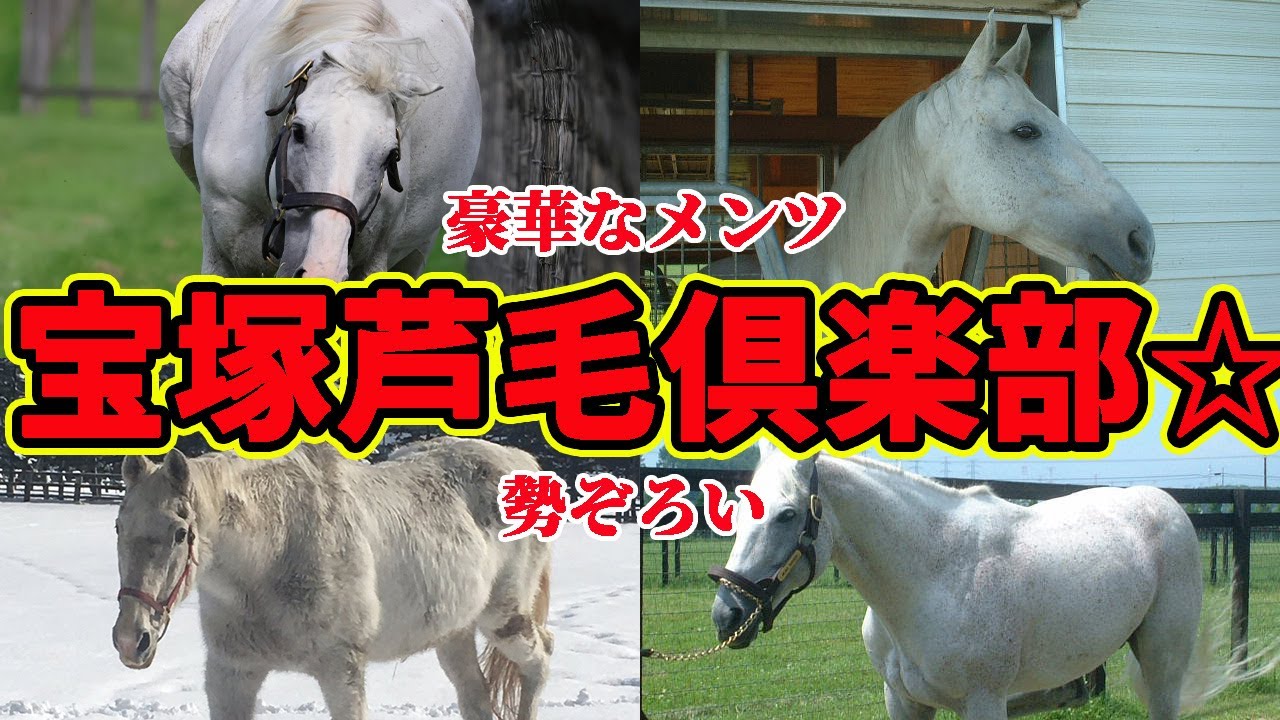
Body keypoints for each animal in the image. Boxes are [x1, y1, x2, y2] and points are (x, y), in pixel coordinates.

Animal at [112, 438, 552, 720]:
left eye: (179, 533)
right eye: (119, 527)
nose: (132, 639)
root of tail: (525, 464)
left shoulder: (342, 669)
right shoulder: (232, 672)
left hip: (504, 618)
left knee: (539, 661)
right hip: (453, 632)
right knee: (475, 696)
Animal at [710, 445, 1265, 720]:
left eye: (786, 514)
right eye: (737, 505)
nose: (726, 614)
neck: (930, 578)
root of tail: (1166, 504)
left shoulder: (983, 702)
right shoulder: (903, 703)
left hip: (1162, 660)